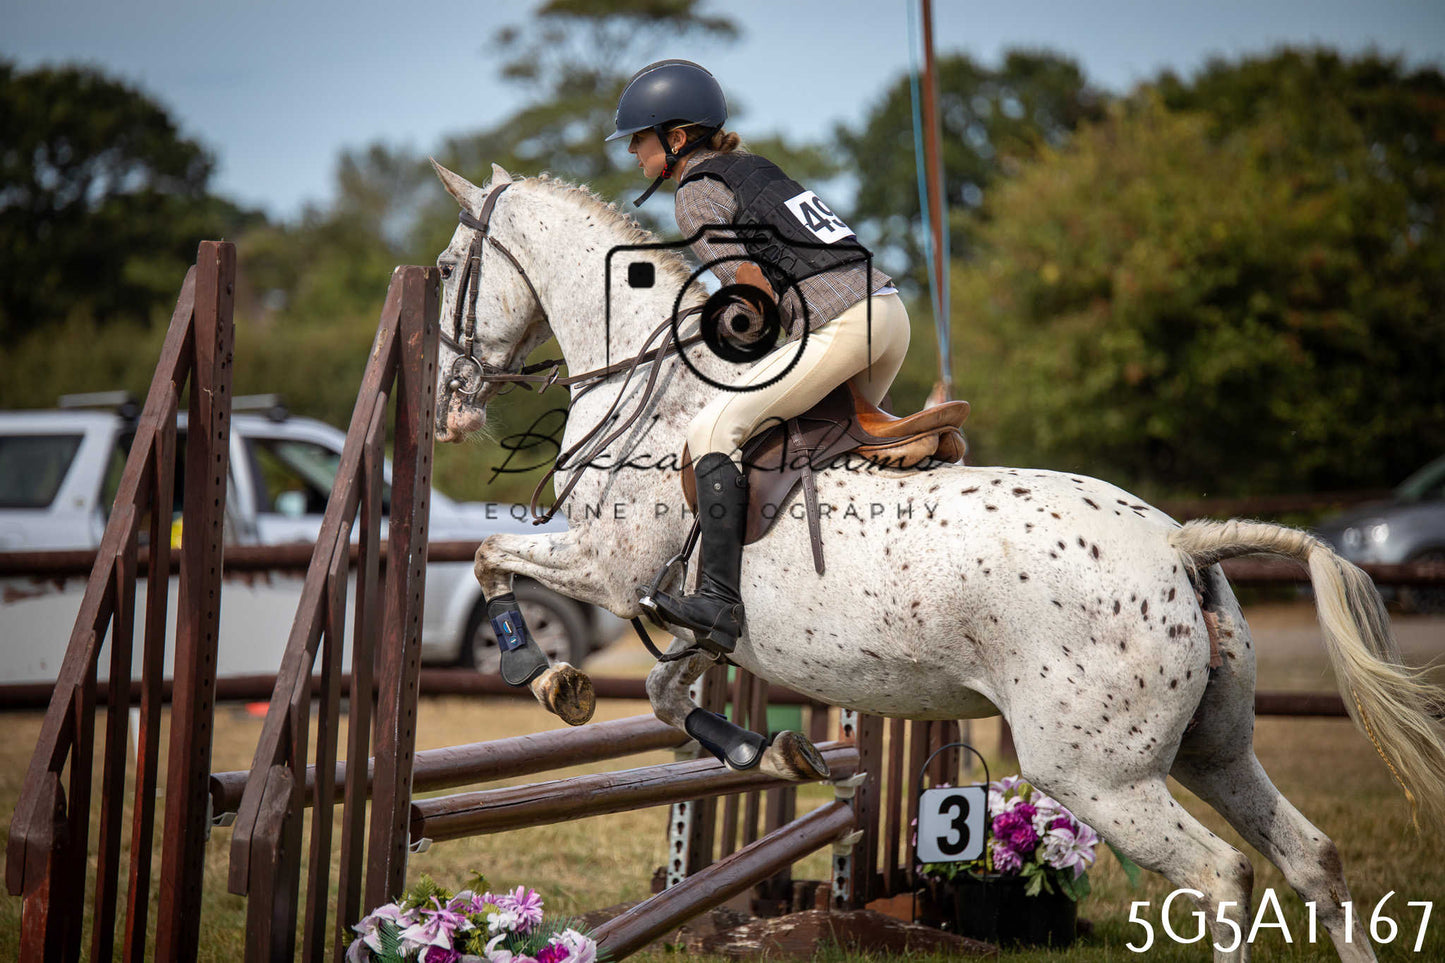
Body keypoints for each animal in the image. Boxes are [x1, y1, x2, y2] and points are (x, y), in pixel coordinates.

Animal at [426, 160, 1445, 962]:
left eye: (443, 270)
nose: (449, 408)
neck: (658, 387)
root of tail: (1175, 541)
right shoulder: (680, 611)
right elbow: (668, 695)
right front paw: (778, 751)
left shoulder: (608, 568)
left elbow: (491, 560)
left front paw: (542, 672)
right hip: (1213, 746)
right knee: (1309, 856)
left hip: (1098, 775)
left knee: (1221, 874)